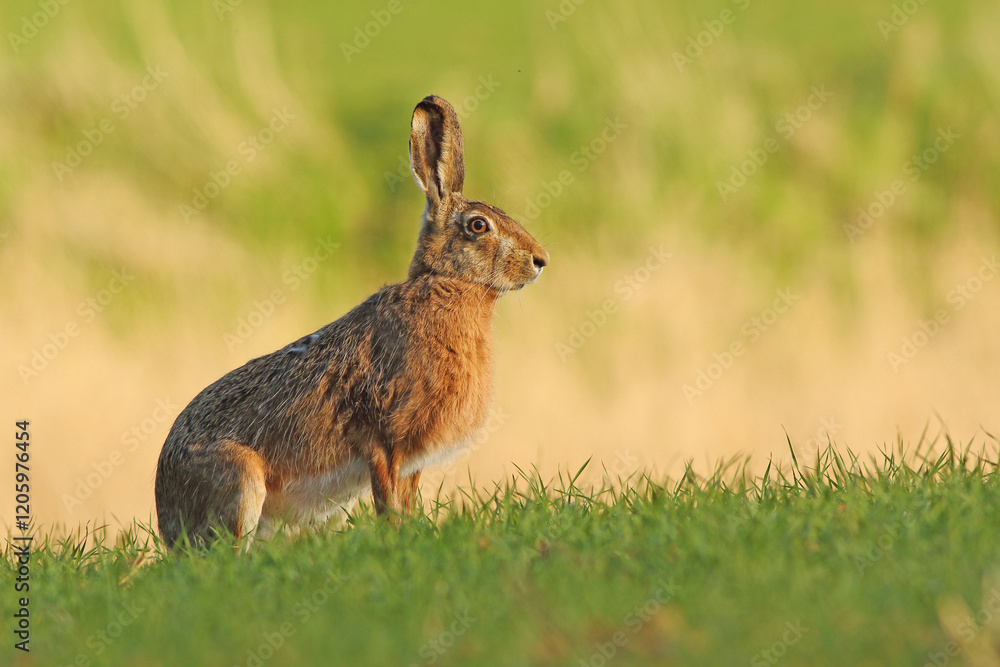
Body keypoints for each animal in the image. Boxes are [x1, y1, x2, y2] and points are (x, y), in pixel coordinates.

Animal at [155, 95, 549, 547]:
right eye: (478, 226)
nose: (540, 260)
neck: (446, 285)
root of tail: (165, 516)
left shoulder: (411, 459)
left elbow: (406, 503)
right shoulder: (382, 440)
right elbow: (387, 503)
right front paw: (394, 539)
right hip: (239, 475)